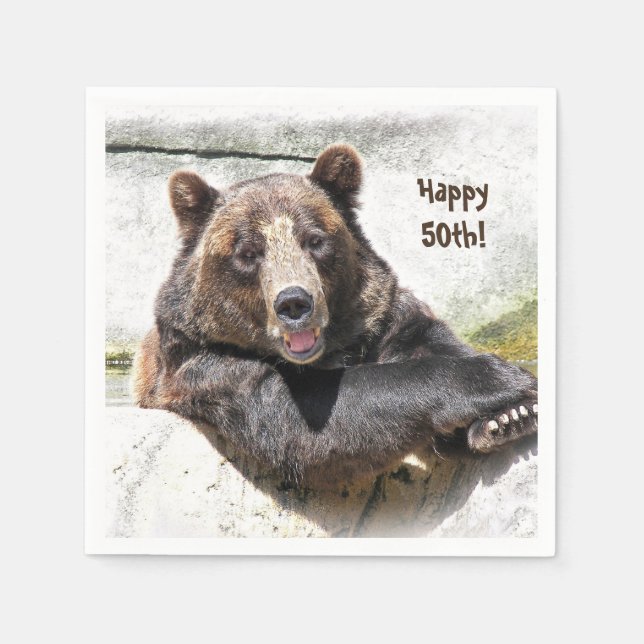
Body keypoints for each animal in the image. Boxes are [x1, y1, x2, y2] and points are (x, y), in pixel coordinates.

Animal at [133, 143, 538, 488]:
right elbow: (303, 419)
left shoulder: (383, 318)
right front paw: (499, 378)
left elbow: (427, 341)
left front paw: (508, 417)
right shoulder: (209, 366)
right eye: (247, 252)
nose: (294, 303)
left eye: (315, 239)